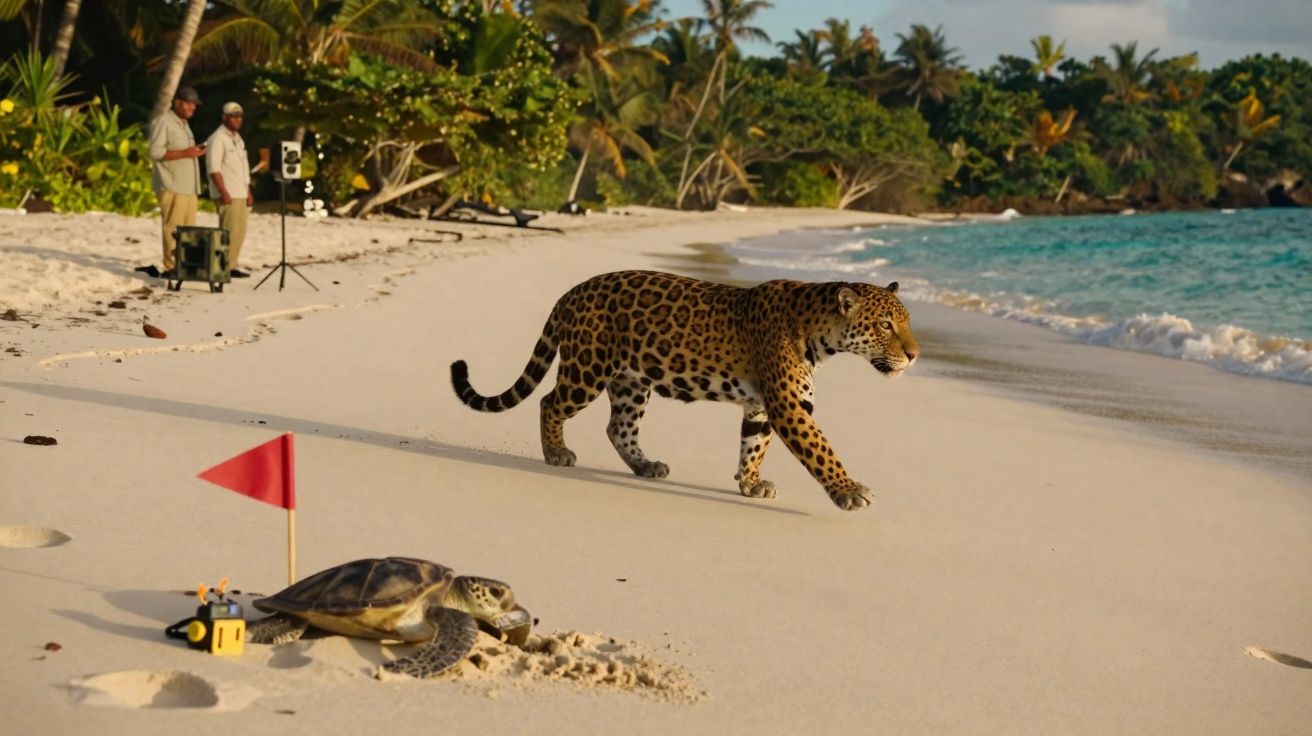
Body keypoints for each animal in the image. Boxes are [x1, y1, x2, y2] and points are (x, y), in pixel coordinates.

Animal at [450, 270, 919, 511]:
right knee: (551, 402)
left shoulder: (762, 406)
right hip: (588, 368)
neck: (822, 334)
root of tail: (571, 291)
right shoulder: (789, 406)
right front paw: (848, 490)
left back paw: (645, 465)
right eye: (885, 326)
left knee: (618, 427)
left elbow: (754, 446)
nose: (915, 355)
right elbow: (821, 449)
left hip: (631, 381)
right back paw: (556, 453)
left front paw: (750, 484)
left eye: (907, 321)